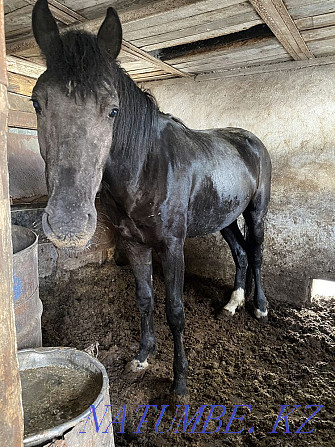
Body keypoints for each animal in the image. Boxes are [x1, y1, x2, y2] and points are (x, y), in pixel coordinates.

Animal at [32, 0, 272, 400]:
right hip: (223, 218)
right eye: (36, 103)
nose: (68, 224)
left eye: (113, 109)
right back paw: (232, 304)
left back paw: (261, 308)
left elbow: (175, 311)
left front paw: (179, 384)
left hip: (256, 212)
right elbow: (144, 298)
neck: (146, 167)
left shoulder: (172, 245)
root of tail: (250, 140)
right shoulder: (133, 243)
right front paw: (142, 357)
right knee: (239, 252)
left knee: (254, 252)